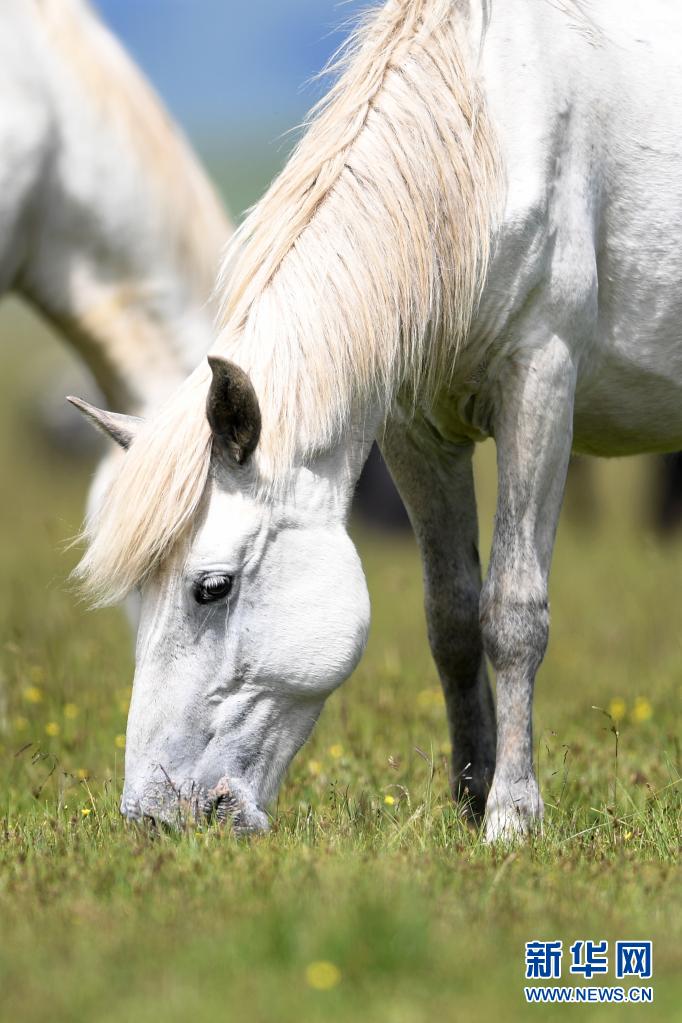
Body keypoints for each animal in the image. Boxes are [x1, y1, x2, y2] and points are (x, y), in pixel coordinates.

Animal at [71, 0, 682, 840]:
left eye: (212, 588)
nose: (153, 816)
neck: (484, 133)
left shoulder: (541, 387)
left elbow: (513, 612)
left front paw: (512, 816)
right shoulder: (417, 430)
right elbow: (451, 618)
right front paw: (469, 797)